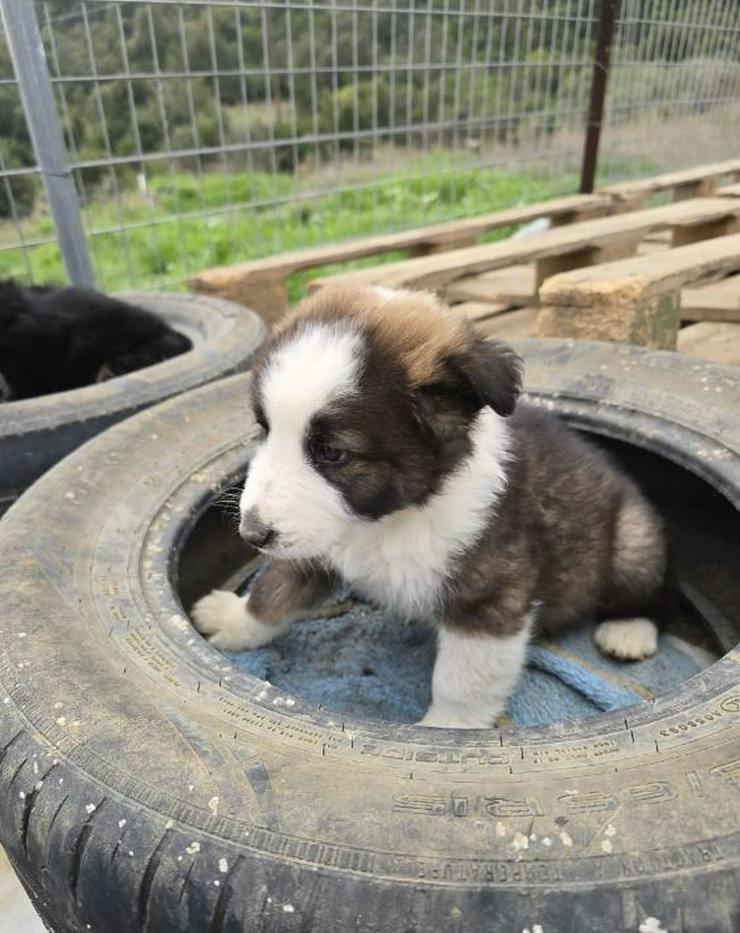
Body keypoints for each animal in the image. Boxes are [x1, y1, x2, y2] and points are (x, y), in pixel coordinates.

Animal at [192, 284, 672, 728]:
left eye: (332, 453)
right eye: (264, 429)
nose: (251, 533)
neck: (390, 519)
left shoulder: (490, 599)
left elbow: (461, 680)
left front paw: (447, 729)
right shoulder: (314, 543)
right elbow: (273, 591)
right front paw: (234, 620)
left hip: (633, 537)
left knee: (651, 588)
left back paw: (629, 630)